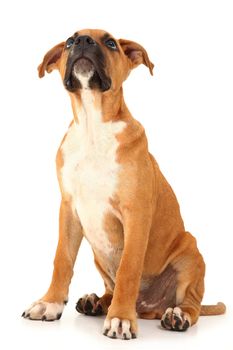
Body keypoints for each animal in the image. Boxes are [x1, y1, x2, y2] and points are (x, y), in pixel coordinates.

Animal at [22, 28, 226, 340]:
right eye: (68, 42)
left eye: (110, 43)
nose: (82, 41)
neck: (93, 126)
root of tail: (149, 307)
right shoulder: (68, 209)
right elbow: (62, 259)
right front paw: (50, 303)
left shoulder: (136, 214)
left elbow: (128, 271)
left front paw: (120, 319)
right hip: (99, 258)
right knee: (110, 286)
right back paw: (96, 301)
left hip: (190, 254)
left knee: (191, 304)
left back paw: (176, 316)